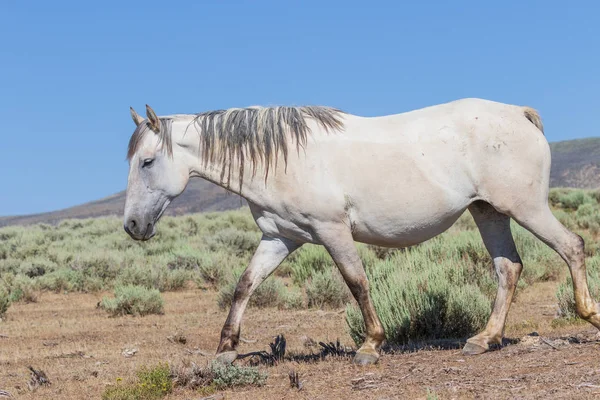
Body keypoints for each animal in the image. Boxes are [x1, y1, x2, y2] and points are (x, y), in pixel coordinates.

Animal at [123, 98, 600, 364]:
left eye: (147, 162)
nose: (132, 226)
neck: (282, 158)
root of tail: (520, 114)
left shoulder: (332, 231)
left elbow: (356, 282)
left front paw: (370, 346)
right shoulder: (281, 238)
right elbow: (244, 286)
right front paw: (225, 350)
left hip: (526, 208)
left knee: (572, 246)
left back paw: (588, 314)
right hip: (488, 212)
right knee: (509, 268)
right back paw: (484, 340)